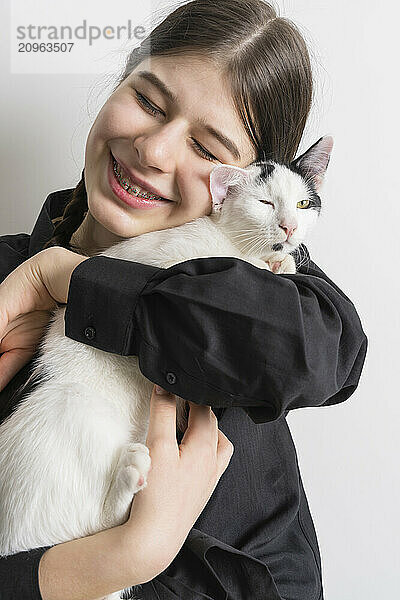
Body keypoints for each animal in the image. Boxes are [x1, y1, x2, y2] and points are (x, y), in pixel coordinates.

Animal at [0, 136, 332, 600]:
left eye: (303, 203)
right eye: (265, 202)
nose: (289, 228)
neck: (232, 244)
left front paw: (284, 263)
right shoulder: (166, 263)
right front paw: (274, 264)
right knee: (110, 539)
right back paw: (130, 473)